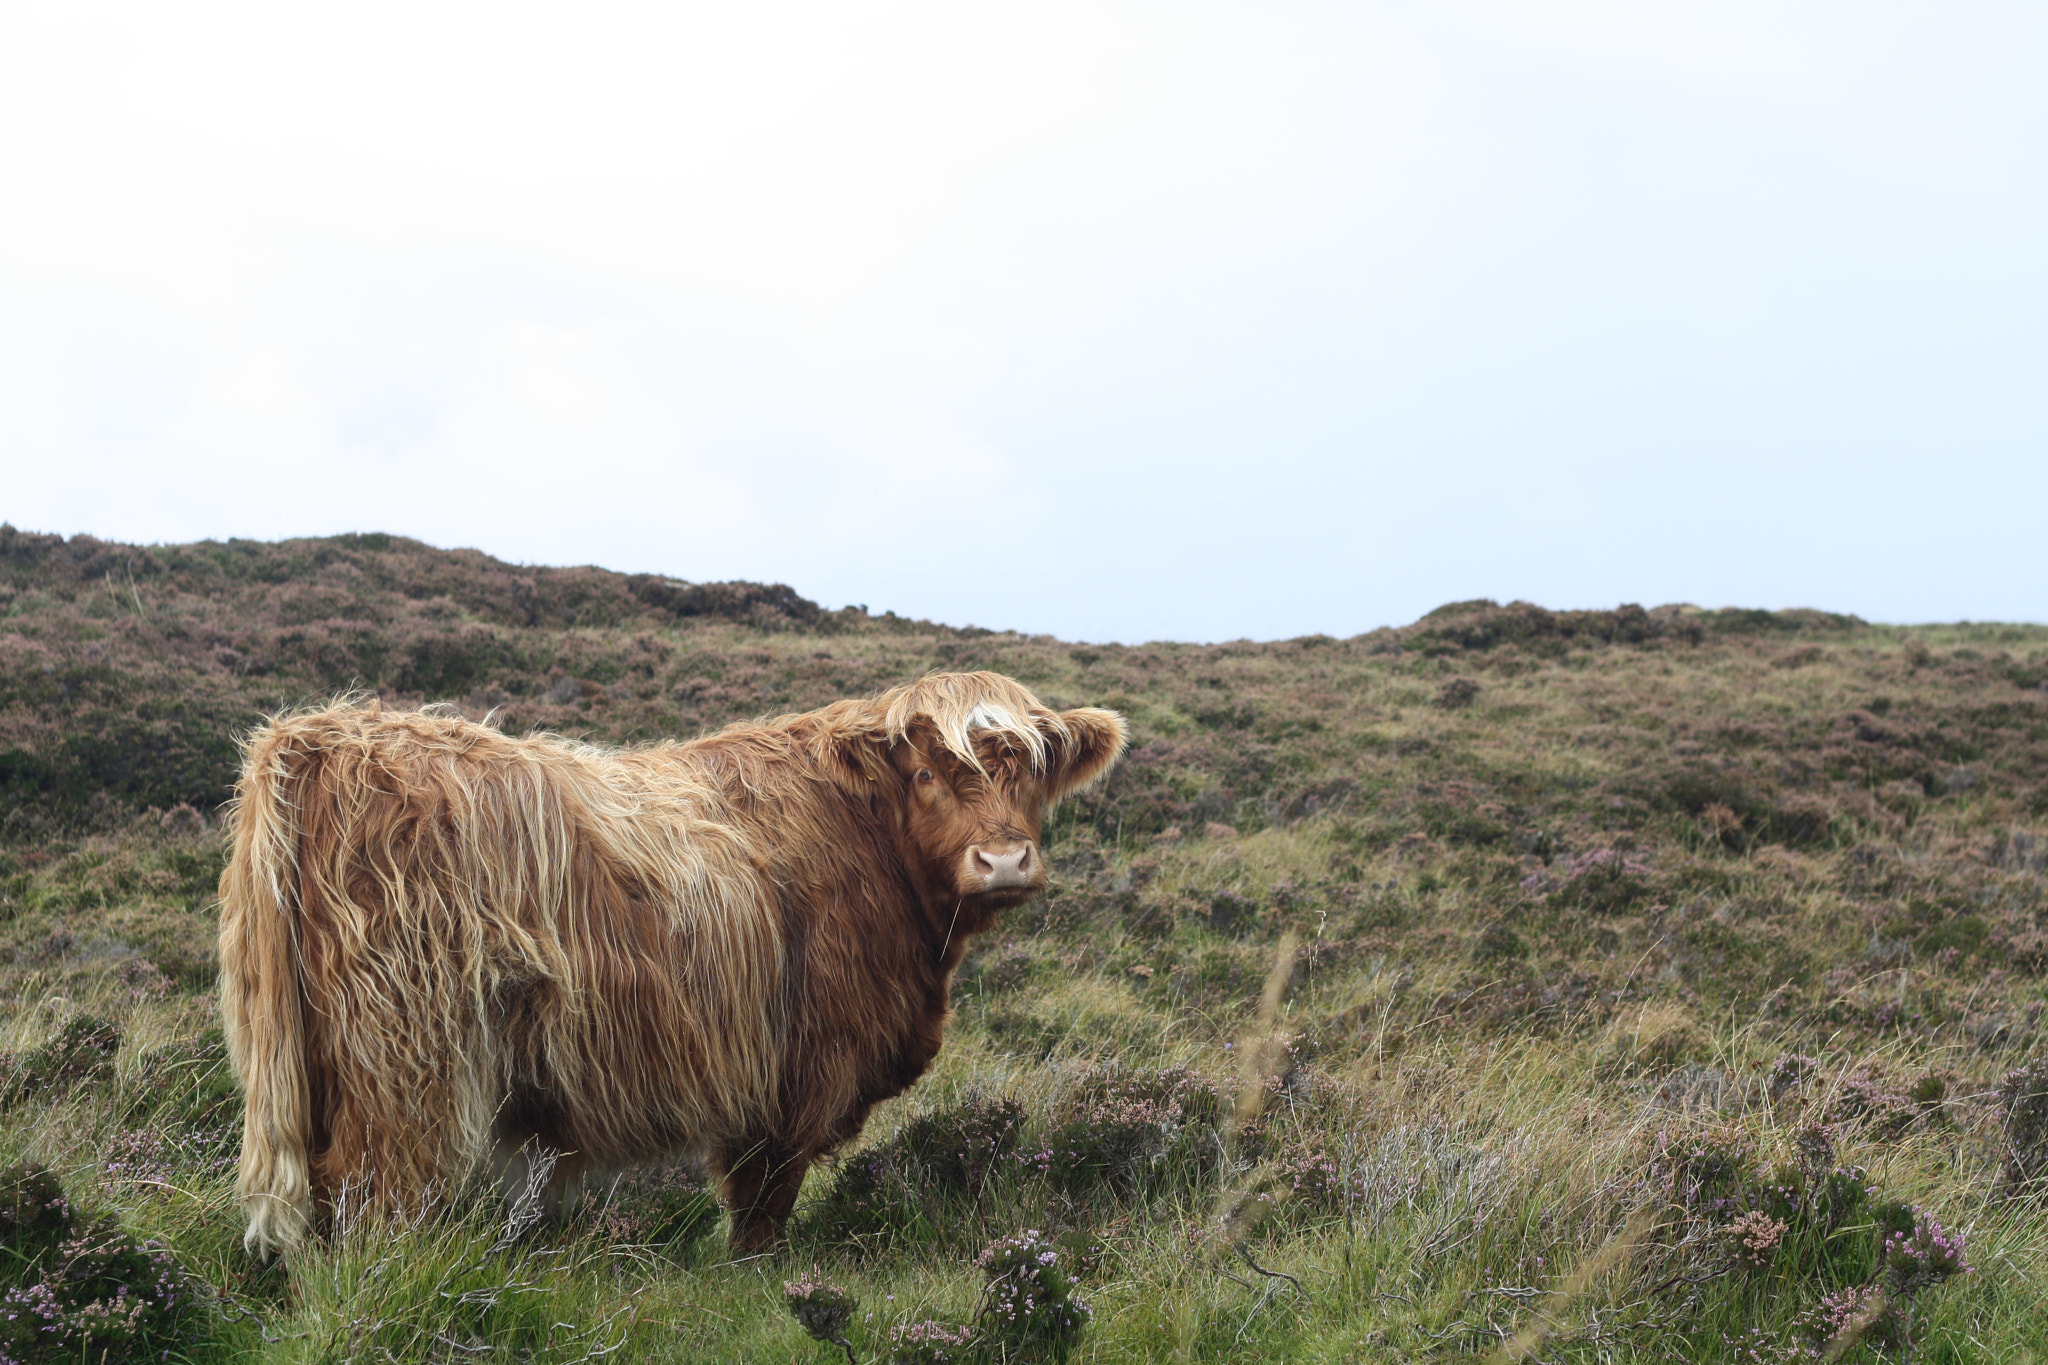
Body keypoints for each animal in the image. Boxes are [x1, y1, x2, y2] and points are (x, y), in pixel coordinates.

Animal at [216, 671, 1130, 1260]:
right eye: (930, 770)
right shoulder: (793, 1070)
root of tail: (318, 735)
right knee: (374, 1196)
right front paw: (758, 1284)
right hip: (403, 1059)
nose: (1004, 861)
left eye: (1033, 770)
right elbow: (762, 1206)